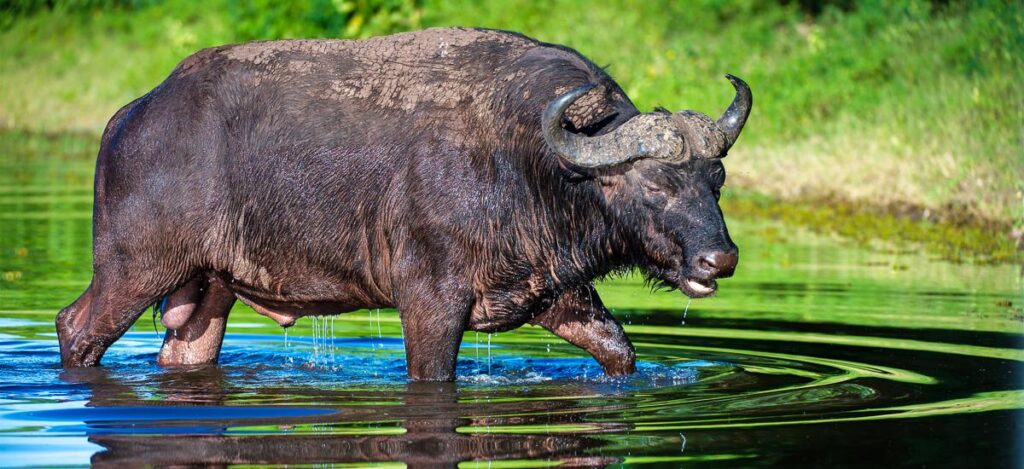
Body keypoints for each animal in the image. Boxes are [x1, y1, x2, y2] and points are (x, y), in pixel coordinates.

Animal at [56, 27, 753, 380]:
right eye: (655, 185)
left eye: (715, 178)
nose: (719, 259)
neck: (533, 163)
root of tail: (134, 115)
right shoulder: (428, 303)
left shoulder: (552, 293)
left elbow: (619, 352)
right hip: (134, 268)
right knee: (75, 327)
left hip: (210, 290)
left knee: (183, 353)